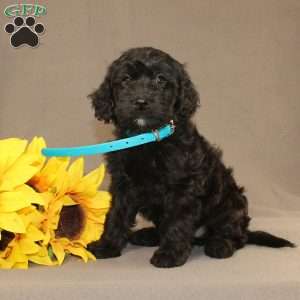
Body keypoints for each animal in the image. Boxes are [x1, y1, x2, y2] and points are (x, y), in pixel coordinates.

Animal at [88, 48, 294, 268]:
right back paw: (148, 235)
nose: (141, 101)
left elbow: (177, 221)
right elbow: (116, 215)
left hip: (231, 202)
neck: (148, 138)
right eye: (126, 79)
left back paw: (220, 245)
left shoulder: (183, 186)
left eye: (160, 79)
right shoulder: (123, 184)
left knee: (236, 235)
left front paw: (170, 254)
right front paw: (106, 246)